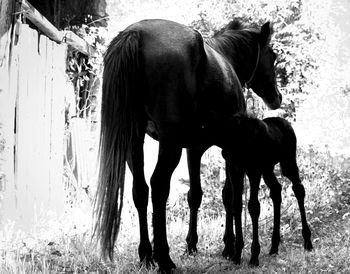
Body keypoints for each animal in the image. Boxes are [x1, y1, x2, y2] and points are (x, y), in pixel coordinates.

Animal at [94, 17, 284, 272]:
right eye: (272, 55)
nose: (277, 97)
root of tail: (136, 34)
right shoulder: (229, 151)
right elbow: (230, 196)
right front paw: (229, 246)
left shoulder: (193, 150)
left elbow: (195, 194)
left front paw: (192, 244)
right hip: (169, 145)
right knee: (158, 187)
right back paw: (164, 258)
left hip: (134, 142)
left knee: (140, 190)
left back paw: (146, 256)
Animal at [208, 115, 314, 266]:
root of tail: (286, 123)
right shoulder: (235, 168)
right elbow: (236, 205)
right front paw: (236, 255)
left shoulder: (254, 170)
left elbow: (253, 207)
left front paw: (253, 256)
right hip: (267, 168)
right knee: (276, 190)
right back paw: (274, 246)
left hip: (287, 161)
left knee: (298, 189)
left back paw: (307, 241)